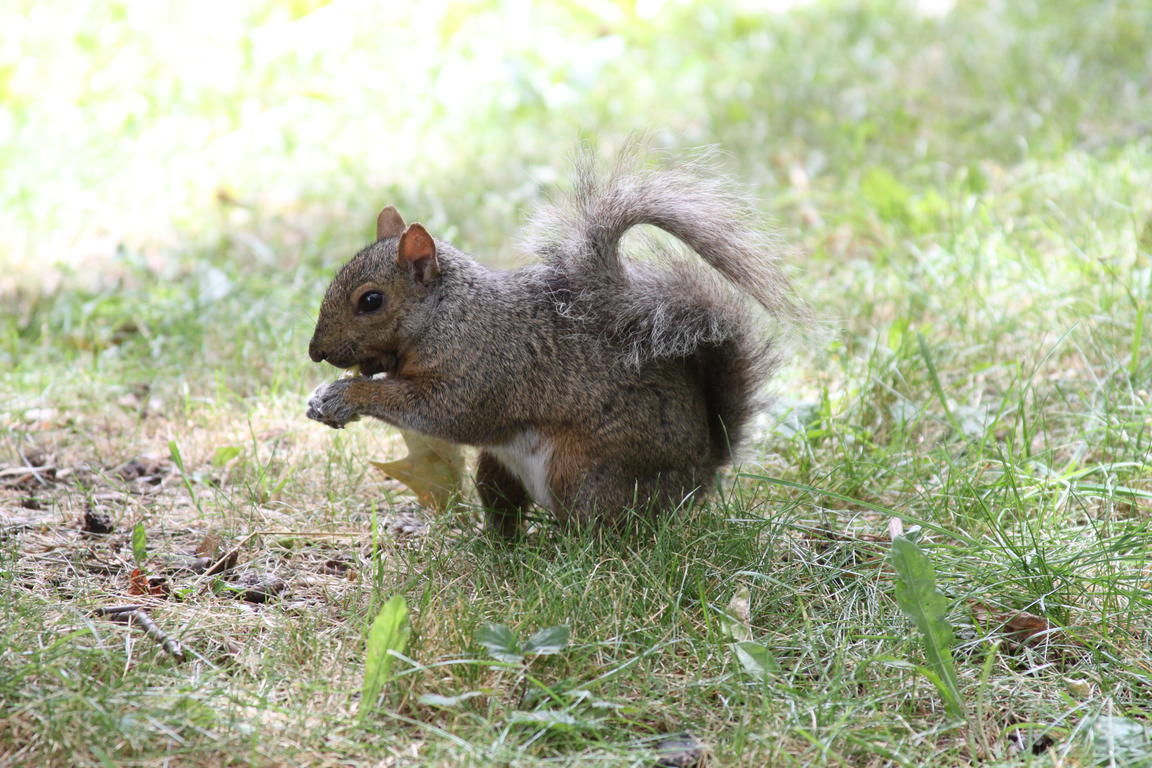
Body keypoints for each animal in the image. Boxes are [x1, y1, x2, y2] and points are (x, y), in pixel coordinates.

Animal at [308, 147, 811, 538]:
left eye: (371, 300)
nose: (316, 353)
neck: (449, 315)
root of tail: (701, 475)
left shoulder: (483, 369)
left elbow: (443, 412)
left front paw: (347, 394)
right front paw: (321, 396)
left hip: (582, 471)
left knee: (603, 530)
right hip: (498, 468)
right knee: (505, 509)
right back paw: (493, 546)